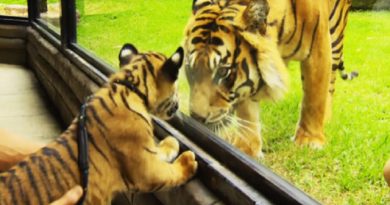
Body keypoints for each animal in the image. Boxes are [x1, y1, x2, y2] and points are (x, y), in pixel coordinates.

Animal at [0, 44, 198, 204]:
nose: (179, 105)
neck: (130, 85)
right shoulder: (146, 170)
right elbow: (170, 173)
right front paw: (188, 161)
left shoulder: (145, 149)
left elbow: (161, 150)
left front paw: (172, 141)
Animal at [183, 0, 356, 157]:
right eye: (191, 70)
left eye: (222, 71)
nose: (197, 117)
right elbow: (247, 111)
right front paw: (247, 149)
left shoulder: (319, 49)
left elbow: (314, 98)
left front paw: (309, 141)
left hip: (336, 36)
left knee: (330, 84)